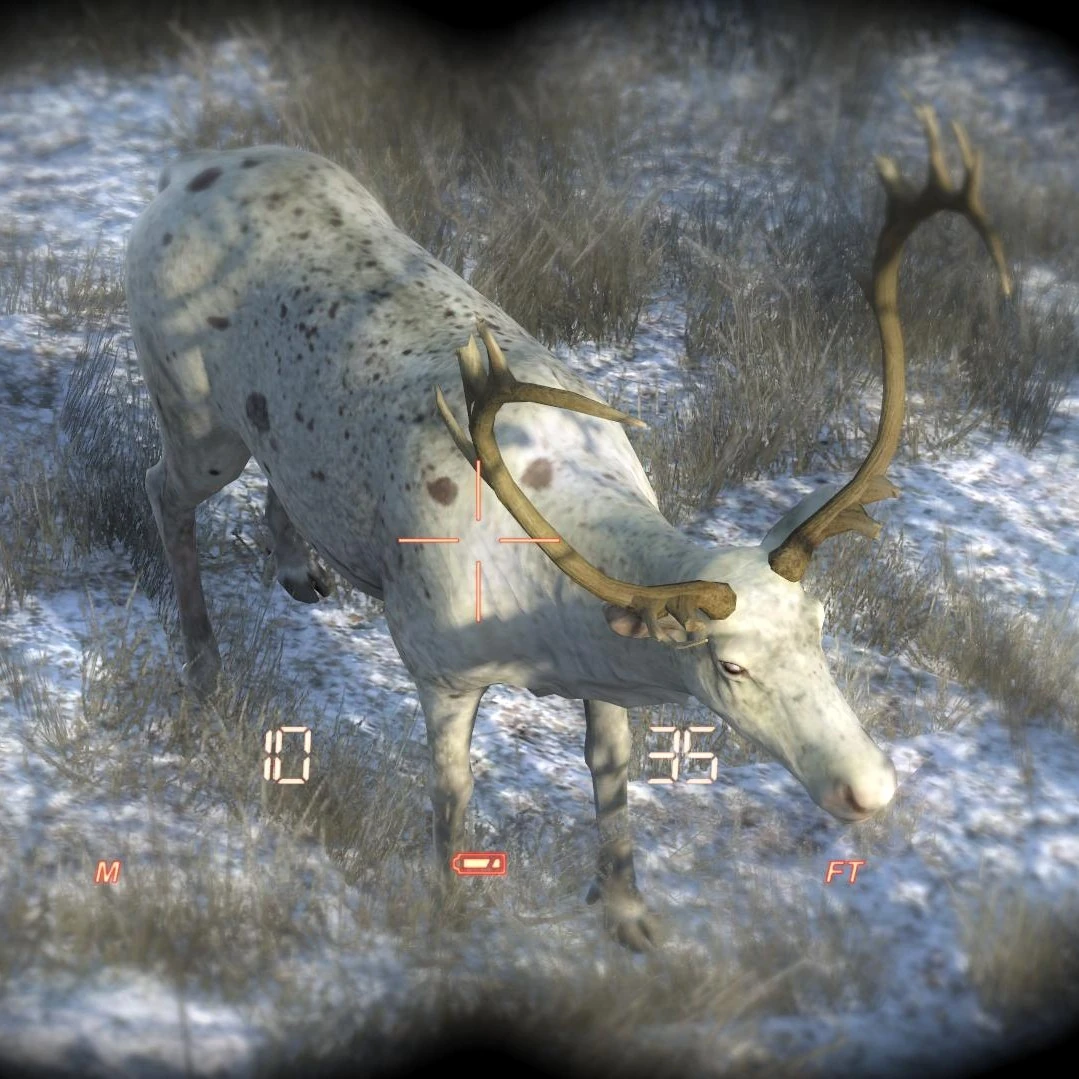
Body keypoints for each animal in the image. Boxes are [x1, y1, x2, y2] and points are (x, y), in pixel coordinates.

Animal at [125, 106, 1011, 950]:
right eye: (728, 665)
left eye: (821, 626)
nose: (870, 787)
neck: (548, 622)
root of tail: (181, 169)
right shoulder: (433, 659)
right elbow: (452, 796)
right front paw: (451, 911)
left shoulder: (599, 674)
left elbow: (610, 770)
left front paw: (628, 913)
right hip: (195, 413)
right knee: (163, 489)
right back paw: (204, 667)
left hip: (267, 429)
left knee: (280, 476)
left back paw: (298, 570)